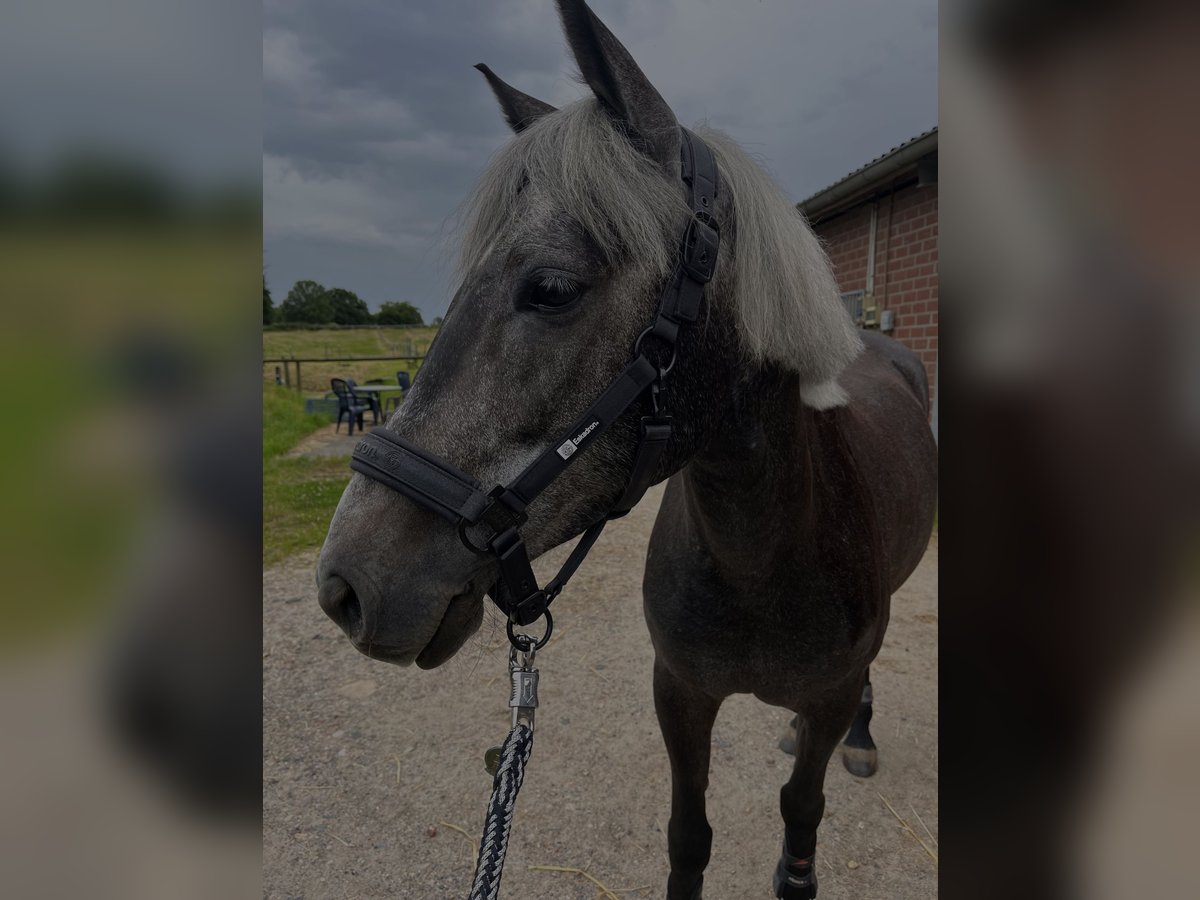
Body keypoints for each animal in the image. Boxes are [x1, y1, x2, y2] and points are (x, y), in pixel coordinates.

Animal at [319, 3, 936, 897]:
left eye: (551, 288)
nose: (344, 587)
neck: (763, 558)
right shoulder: (678, 694)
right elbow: (688, 837)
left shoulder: (824, 697)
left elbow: (800, 822)